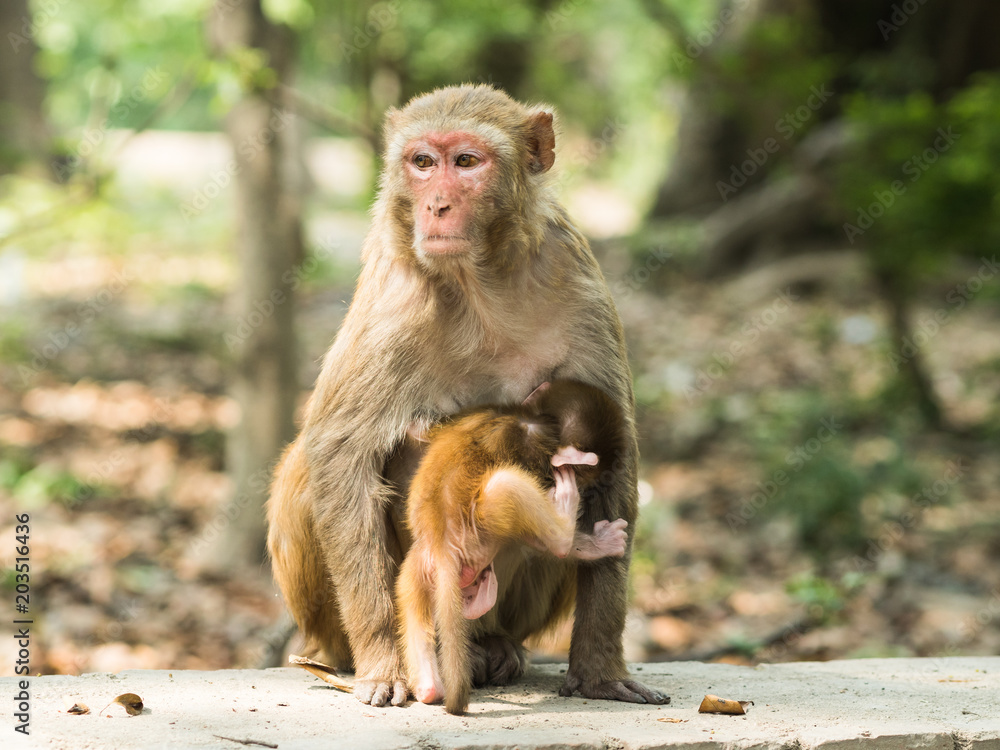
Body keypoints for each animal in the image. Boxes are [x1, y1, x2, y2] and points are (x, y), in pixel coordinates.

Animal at [397, 380, 631, 714]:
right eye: (589, 479)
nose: (586, 491)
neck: (533, 416)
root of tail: (441, 545)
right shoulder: (534, 447)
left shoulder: (483, 409)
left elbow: (420, 431)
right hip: (478, 527)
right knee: (510, 489)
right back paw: (574, 536)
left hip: (413, 573)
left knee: (417, 617)